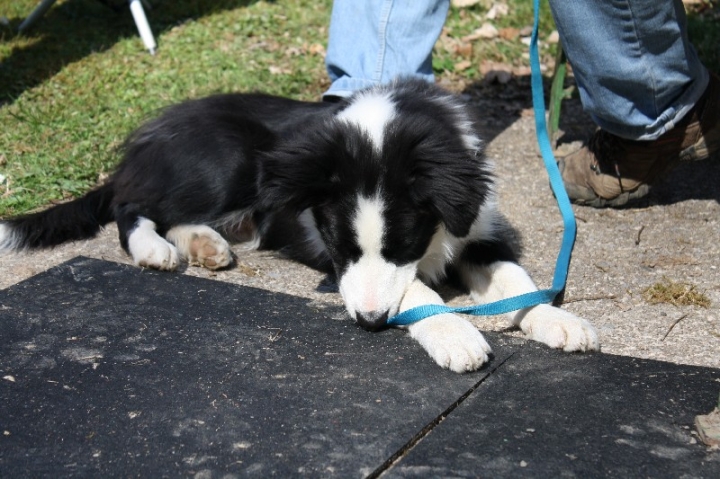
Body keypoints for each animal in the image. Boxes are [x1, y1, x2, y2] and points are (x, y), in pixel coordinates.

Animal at [0, 79, 596, 374]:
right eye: (337, 243)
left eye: (406, 240)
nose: (370, 323)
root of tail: (150, 135)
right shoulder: (337, 264)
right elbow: (417, 289)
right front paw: (454, 334)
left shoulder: (473, 226)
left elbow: (513, 277)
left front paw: (555, 319)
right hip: (227, 162)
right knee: (131, 206)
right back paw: (154, 248)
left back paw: (206, 245)